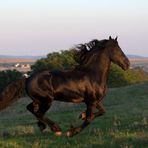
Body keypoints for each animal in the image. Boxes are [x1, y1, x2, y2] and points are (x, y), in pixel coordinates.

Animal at [0, 36, 130, 137]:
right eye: (117, 50)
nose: (127, 64)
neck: (93, 74)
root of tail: (27, 78)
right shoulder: (91, 101)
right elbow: (89, 119)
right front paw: (71, 132)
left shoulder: (94, 101)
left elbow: (102, 111)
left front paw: (81, 115)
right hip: (47, 100)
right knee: (39, 113)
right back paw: (56, 129)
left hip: (38, 100)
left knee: (31, 109)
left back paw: (43, 126)